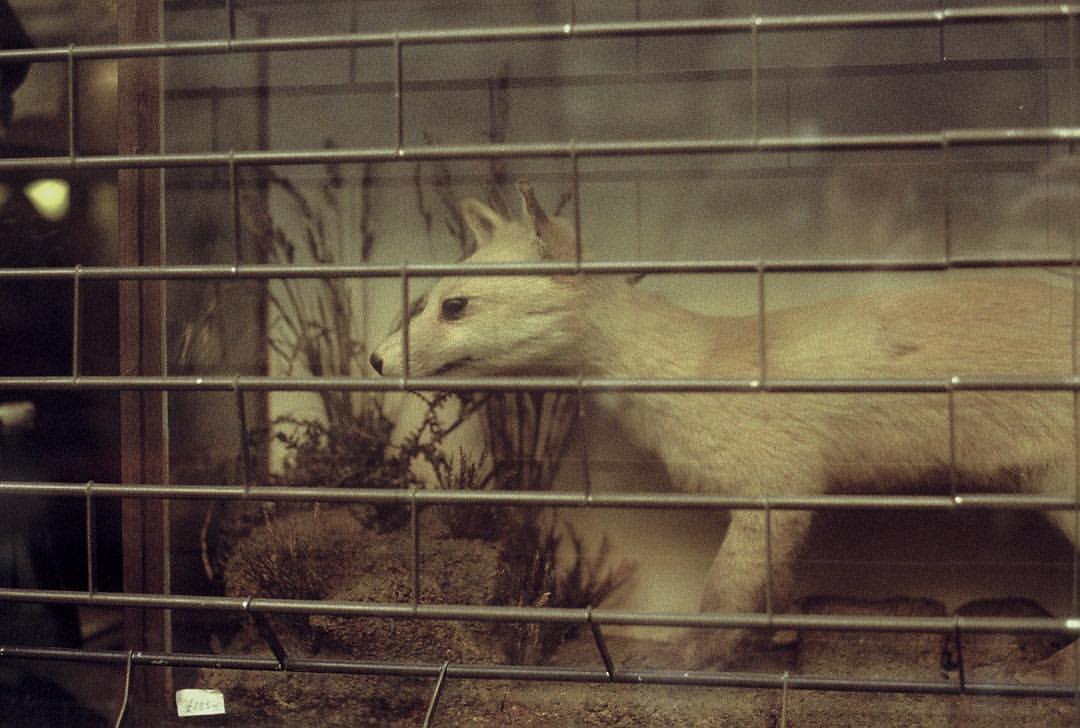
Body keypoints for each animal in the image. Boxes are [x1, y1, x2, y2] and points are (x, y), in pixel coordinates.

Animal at [369, 180, 1078, 668]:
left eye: (456, 306)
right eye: (422, 299)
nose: (376, 359)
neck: (697, 367)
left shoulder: (777, 491)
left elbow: (722, 598)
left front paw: (683, 657)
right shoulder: (784, 509)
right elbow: (772, 596)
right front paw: (779, 639)